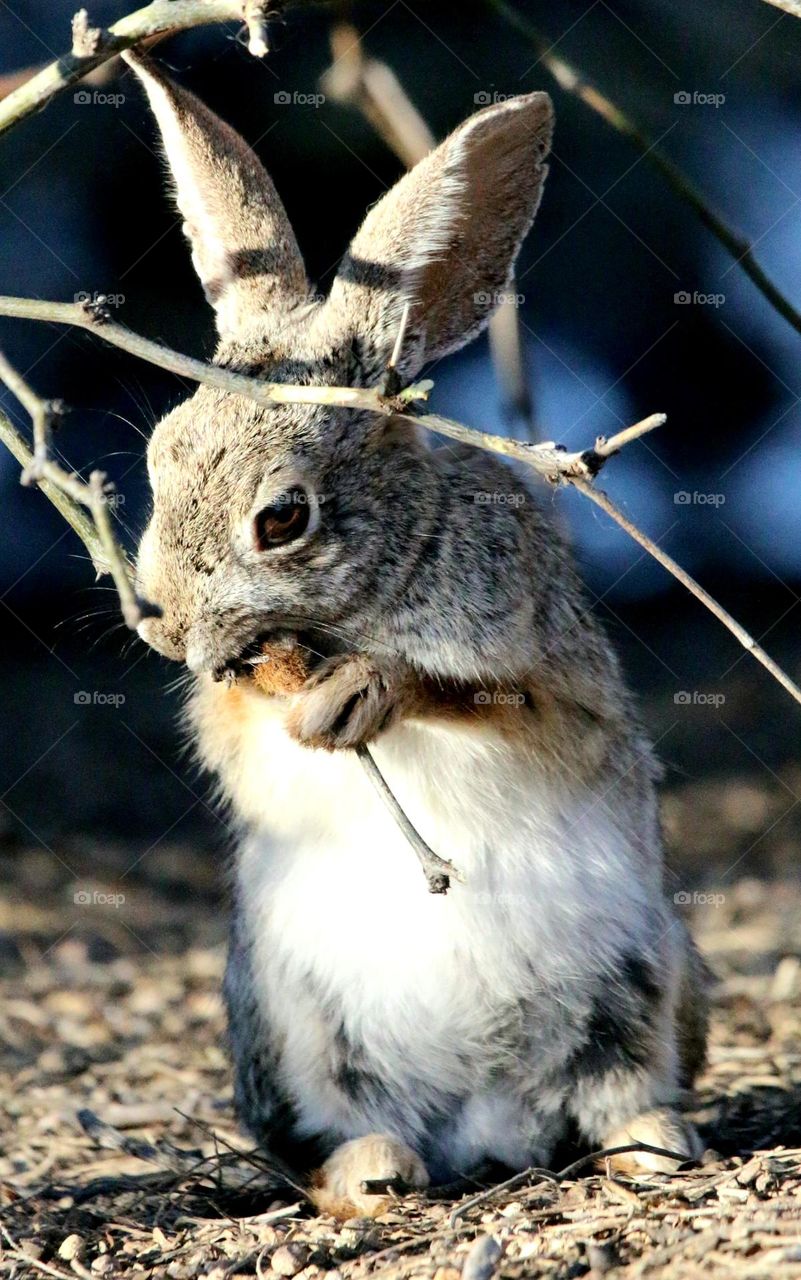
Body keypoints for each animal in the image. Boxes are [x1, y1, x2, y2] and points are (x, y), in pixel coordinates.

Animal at [127, 50, 708, 1218]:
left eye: (282, 519)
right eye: (162, 456)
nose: (161, 623)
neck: (360, 598)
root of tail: (490, 1123)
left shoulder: (556, 677)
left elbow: (494, 701)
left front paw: (366, 692)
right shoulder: (231, 717)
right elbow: (242, 729)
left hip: (643, 972)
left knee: (617, 1085)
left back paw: (649, 1145)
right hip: (298, 1024)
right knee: (353, 1128)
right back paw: (375, 1171)